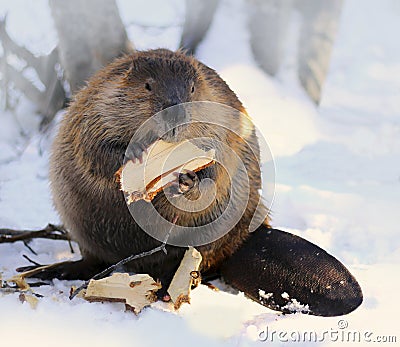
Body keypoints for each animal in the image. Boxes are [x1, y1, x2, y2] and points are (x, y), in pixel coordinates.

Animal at [24, 49, 362, 318]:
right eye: (148, 85)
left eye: (191, 87)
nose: (175, 115)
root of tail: (247, 240)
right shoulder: (96, 105)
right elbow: (95, 149)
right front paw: (134, 154)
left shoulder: (222, 118)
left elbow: (221, 165)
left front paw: (188, 180)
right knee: (91, 260)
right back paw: (50, 271)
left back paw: (168, 288)